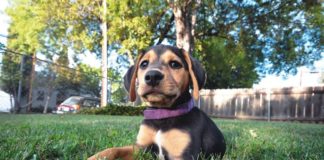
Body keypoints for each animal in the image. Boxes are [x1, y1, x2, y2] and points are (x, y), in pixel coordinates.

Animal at [88, 44, 225, 159]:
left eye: (175, 64)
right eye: (144, 64)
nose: (152, 76)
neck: (162, 115)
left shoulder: (182, 154)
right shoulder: (141, 148)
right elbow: (114, 149)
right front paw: (94, 157)